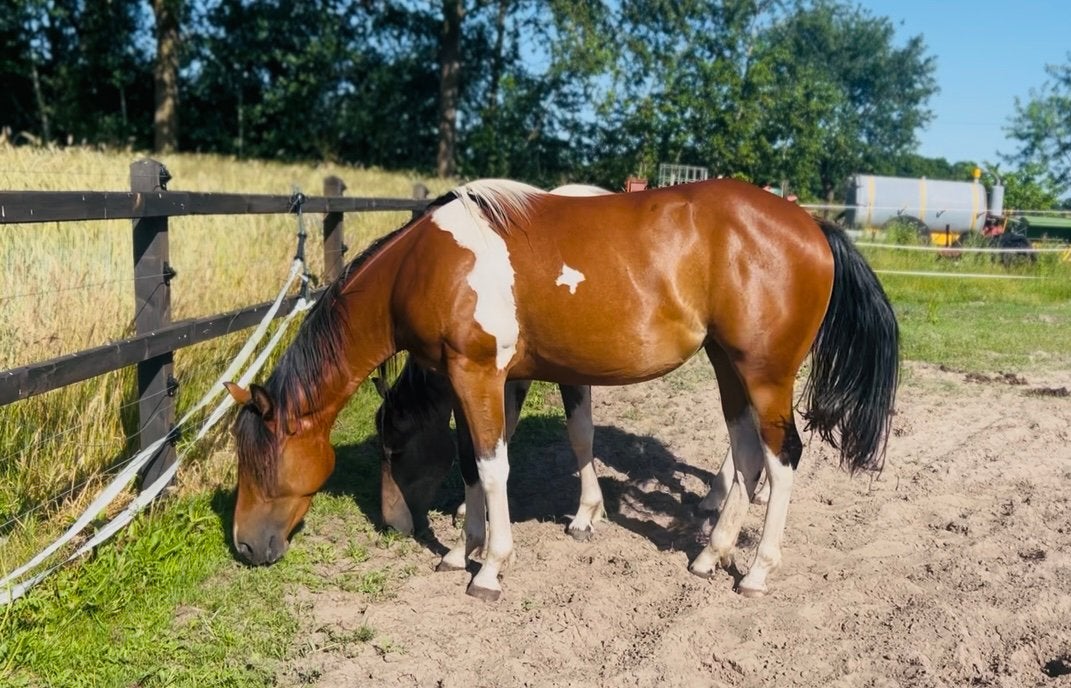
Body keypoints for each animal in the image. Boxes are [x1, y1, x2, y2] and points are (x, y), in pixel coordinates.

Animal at [225, 177, 899, 601]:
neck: (424, 267)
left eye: (261, 462)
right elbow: (474, 463)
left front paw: (490, 568)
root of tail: (811, 224)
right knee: (746, 457)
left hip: (764, 374)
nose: (246, 547)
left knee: (783, 461)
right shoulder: (491, 379)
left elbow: (493, 466)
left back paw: (756, 573)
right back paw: (711, 555)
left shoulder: (477, 373)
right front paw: (462, 550)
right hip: (729, 368)